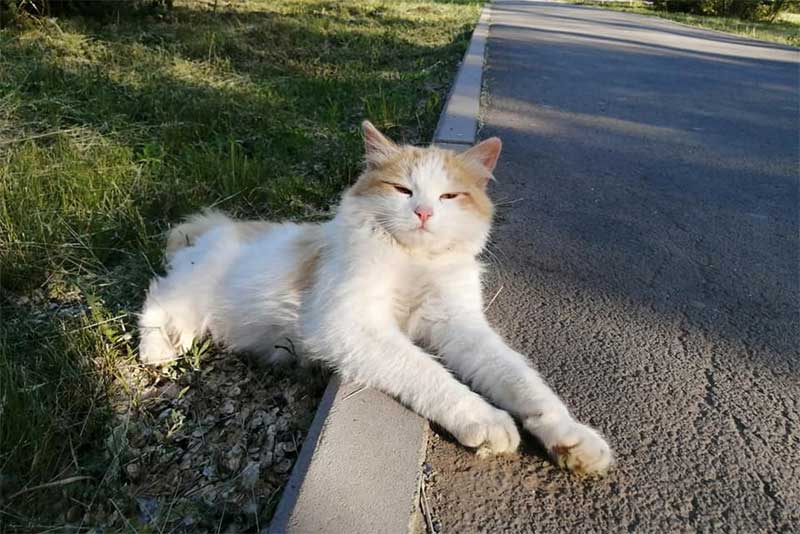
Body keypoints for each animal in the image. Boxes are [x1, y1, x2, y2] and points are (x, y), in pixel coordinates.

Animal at [139, 122, 612, 478]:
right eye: (403, 190)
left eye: (448, 196)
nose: (423, 213)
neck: (414, 261)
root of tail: (218, 226)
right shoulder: (351, 325)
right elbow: (429, 373)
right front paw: (487, 419)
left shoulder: (461, 326)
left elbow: (521, 380)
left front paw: (573, 438)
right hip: (191, 291)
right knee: (156, 300)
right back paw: (159, 350)